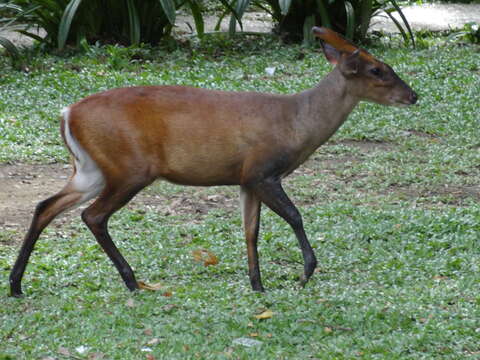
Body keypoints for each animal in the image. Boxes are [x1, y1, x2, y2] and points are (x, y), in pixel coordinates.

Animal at [9, 28, 418, 296]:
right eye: (378, 70)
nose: (413, 95)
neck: (296, 121)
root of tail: (67, 113)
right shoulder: (263, 170)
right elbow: (295, 216)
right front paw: (304, 273)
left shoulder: (245, 179)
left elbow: (250, 230)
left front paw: (258, 285)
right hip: (130, 169)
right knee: (92, 215)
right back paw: (132, 281)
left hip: (91, 169)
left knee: (46, 206)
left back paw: (16, 285)